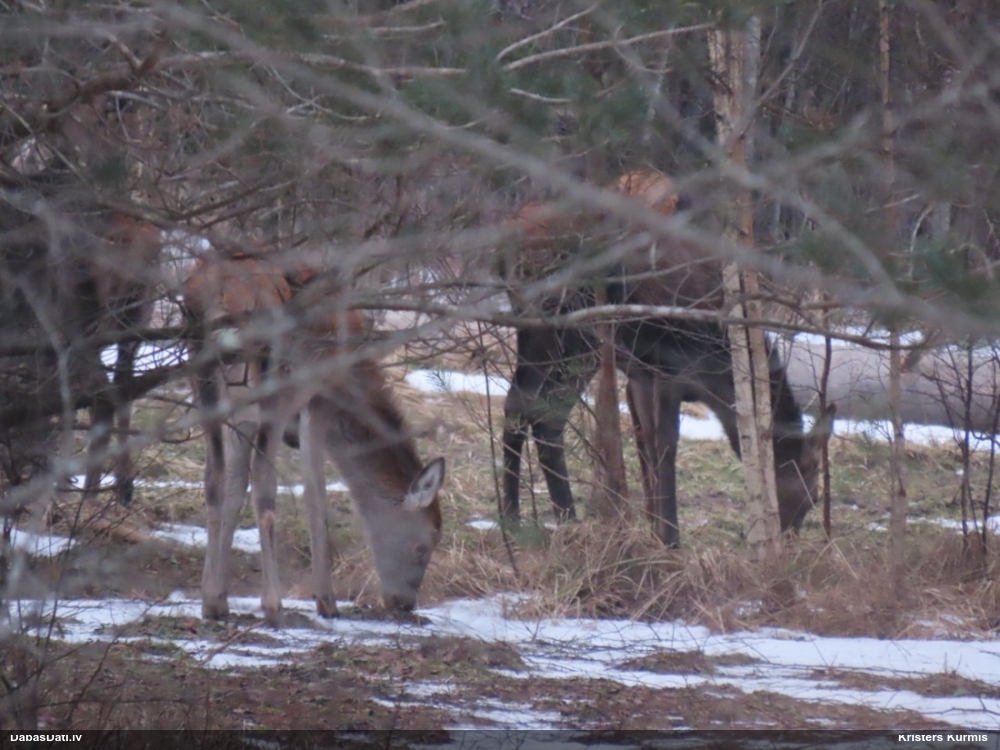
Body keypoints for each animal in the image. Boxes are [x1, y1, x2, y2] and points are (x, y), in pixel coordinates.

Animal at [182, 254, 446, 623]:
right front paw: (326, 600)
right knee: (264, 483)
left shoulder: (244, 417)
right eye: (422, 547)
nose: (404, 603)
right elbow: (315, 495)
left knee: (214, 477)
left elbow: (234, 488)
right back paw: (273, 603)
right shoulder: (318, 402)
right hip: (275, 384)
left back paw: (213, 602)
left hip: (204, 376)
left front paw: (217, 598)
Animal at [500, 171, 832, 546]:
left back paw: (565, 516)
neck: (719, 373)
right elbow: (665, 448)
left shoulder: (641, 376)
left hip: (581, 349)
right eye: (810, 496)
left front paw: (654, 529)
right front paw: (671, 539)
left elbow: (646, 445)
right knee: (519, 404)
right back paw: (513, 515)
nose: (787, 543)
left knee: (546, 415)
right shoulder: (666, 372)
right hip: (548, 330)